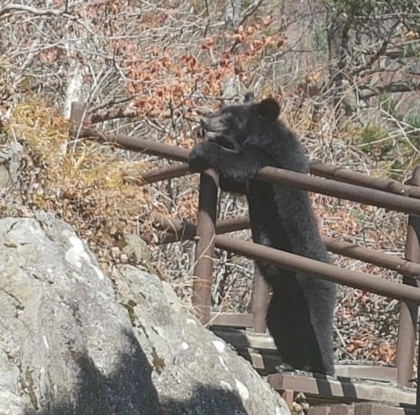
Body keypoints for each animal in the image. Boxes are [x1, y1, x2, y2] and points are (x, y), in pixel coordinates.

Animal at [189, 93, 336, 376]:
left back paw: (321, 368)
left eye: (228, 116)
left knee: (318, 328)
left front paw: (201, 148)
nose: (204, 120)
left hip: (312, 287)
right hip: (283, 300)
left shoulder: (268, 156)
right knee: (282, 325)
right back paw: (292, 361)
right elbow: (234, 183)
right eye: (222, 109)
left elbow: (239, 164)